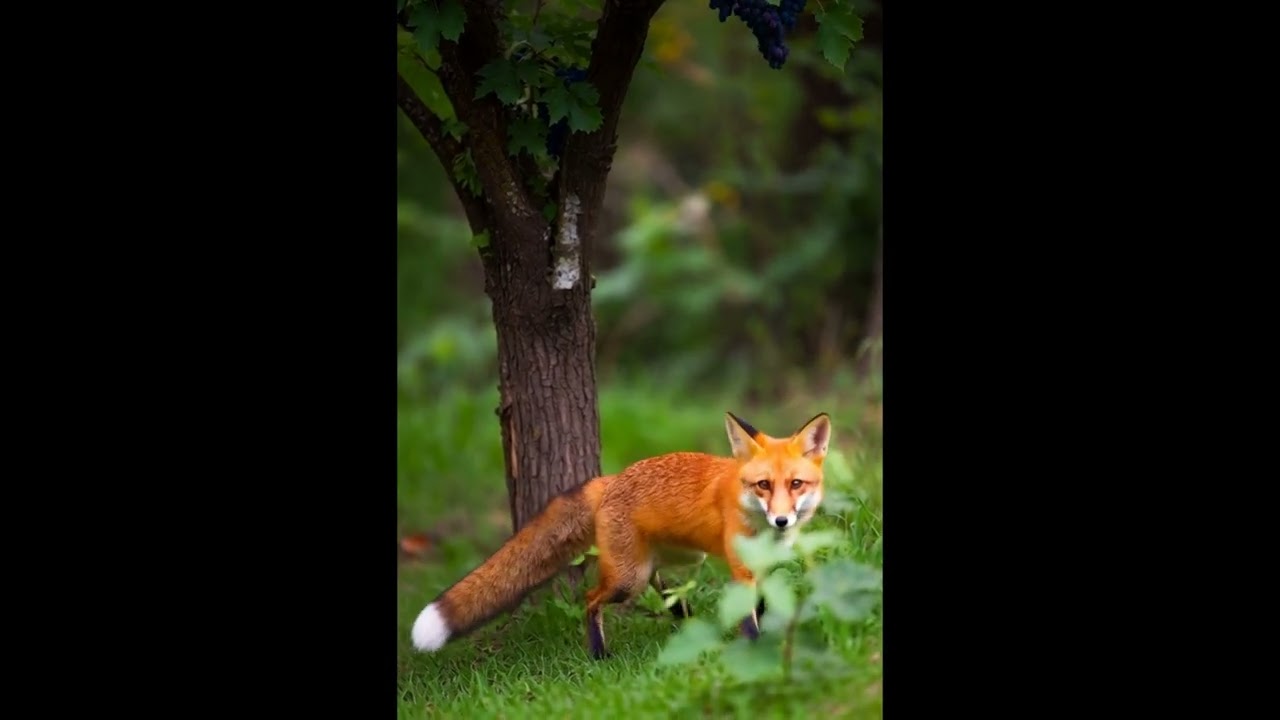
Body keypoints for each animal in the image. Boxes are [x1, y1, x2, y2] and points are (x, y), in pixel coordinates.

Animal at [410, 411, 831, 659]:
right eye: (763, 485)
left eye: (796, 484)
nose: (782, 521)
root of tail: (609, 480)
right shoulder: (742, 571)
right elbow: (750, 619)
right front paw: (759, 651)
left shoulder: (766, 567)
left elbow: (765, 606)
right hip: (629, 577)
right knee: (591, 599)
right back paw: (599, 654)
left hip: (670, 559)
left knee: (663, 586)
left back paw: (684, 618)